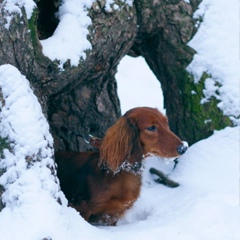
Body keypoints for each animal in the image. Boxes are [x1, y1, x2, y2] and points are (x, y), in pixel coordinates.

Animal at [55, 107, 188, 225]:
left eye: (166, 123)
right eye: (151, 127)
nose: (184, 147)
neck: (122, 171)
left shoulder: (113, 215)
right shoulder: (83, 208)